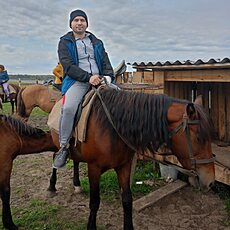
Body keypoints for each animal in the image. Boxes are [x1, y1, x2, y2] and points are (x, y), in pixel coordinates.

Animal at [49, 87, 216, 229]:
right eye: (199, 138)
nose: (211, 181)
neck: (111, 127)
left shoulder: (124, 166)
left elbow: (127, 200)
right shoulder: (94, 168)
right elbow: (95, 202)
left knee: (76, 161)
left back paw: (76, 184)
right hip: (58, 143)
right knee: (55, 157)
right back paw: (52, 186)